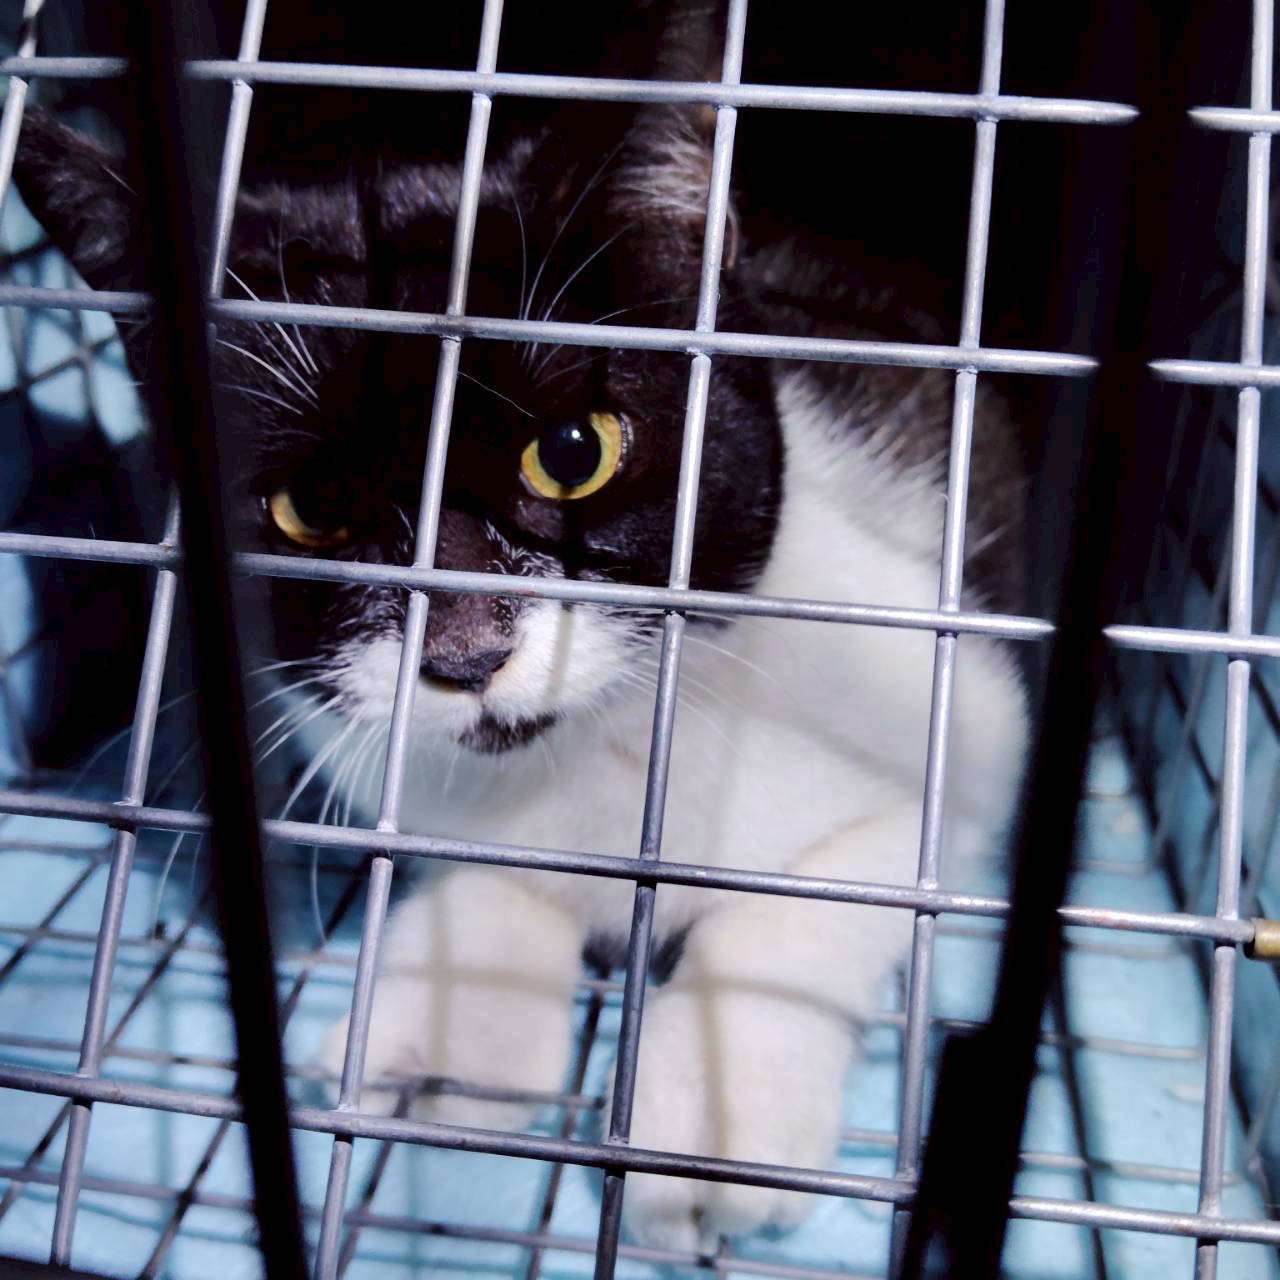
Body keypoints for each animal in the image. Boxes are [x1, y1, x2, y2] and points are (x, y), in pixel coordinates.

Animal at [13, 5, 1029, 1248]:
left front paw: (713, 1117)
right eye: (311, 504)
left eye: (575, 449)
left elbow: (843, 886)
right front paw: (452, 1017)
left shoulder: (950, 681)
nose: (465, 651)